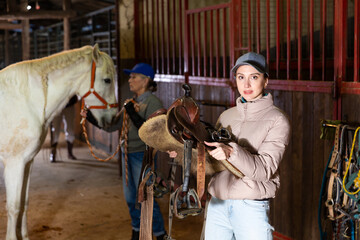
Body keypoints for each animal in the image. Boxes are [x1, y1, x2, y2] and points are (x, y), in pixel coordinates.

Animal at [0, 44, 118, 239]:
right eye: (107, 80)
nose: (113, 118)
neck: (28, 100)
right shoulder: (14, 163)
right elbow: (14, 206)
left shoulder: (27, 162)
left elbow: (24, 202)